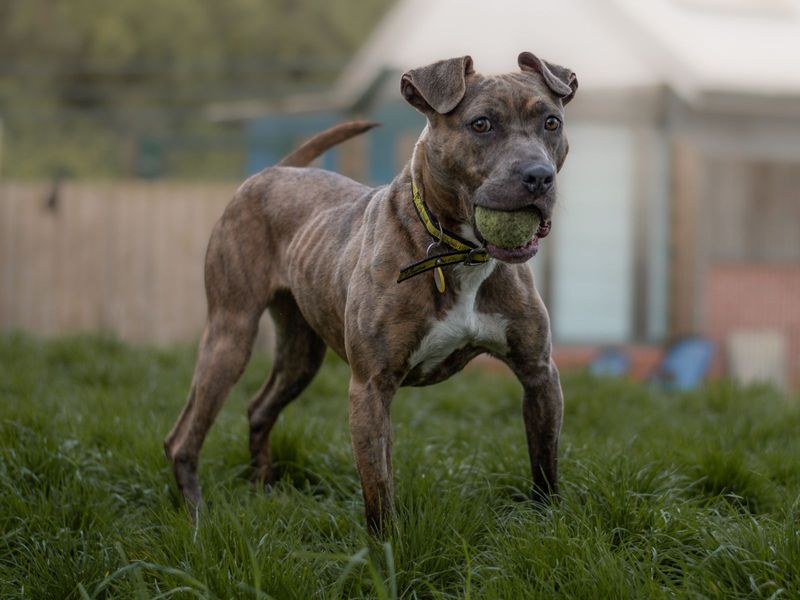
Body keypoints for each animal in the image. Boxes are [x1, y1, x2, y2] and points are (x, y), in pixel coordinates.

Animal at [166, 51, 580, 536]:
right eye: (481, 124)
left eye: (551, 122)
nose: (539, 176)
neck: (456, 253)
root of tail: (276, 170)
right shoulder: (370, 388)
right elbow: (378, 485)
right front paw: (387, 549)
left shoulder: (538, 374)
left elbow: (545, 462)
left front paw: (549, 523)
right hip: (230, 336)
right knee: (184, 435)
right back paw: (195, 514)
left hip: (300, 353)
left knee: (259, 408)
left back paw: (264, 490)